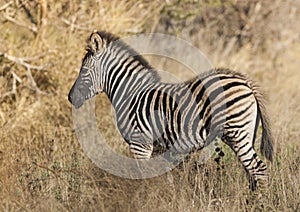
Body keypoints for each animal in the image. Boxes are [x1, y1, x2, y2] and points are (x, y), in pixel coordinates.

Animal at [68, 30, 274, 191]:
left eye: (83, 70)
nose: (70, 98)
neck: (130, 94)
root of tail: (245, 82)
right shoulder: (157, 148)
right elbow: (164, 181)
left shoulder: (139, 144)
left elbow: (143, 180)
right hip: (245, 133)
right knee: (251, 173)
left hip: (237, 133)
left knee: (259, 171)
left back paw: (259, 204)